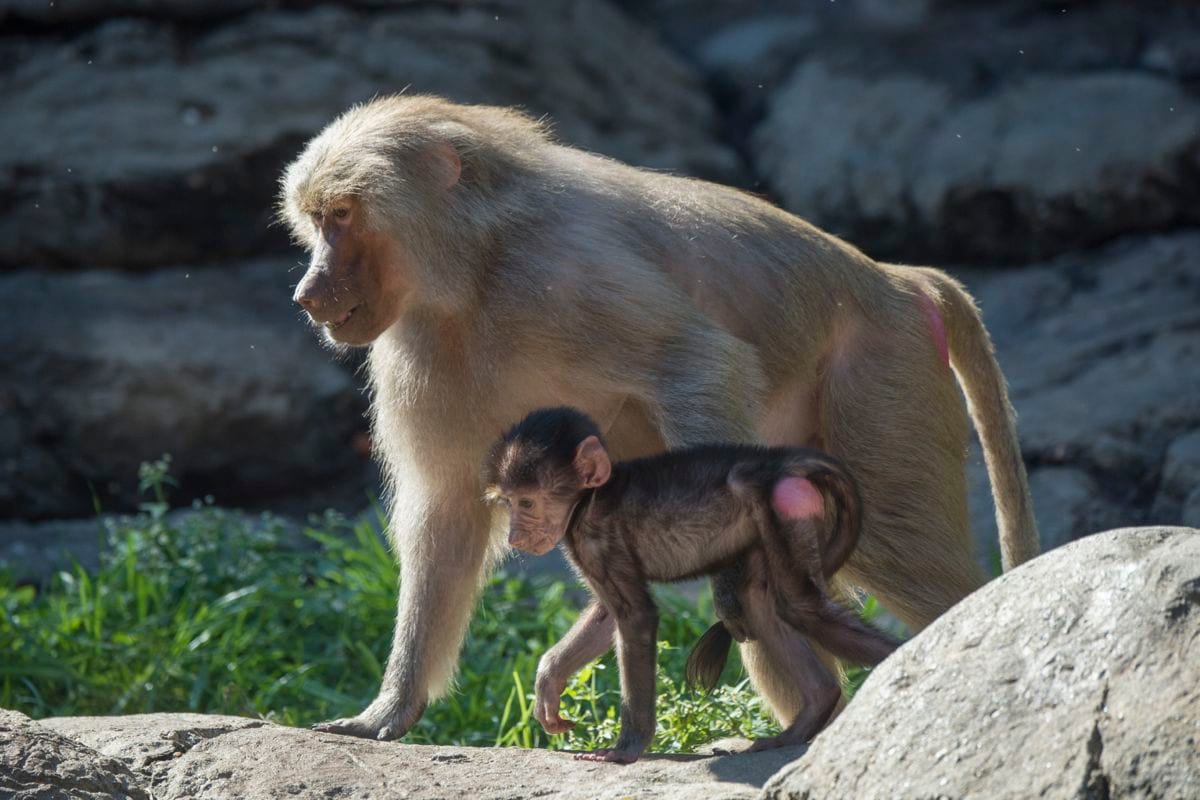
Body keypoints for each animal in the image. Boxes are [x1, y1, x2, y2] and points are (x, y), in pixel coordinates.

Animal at [482, 407, 900, 763]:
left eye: (528, 503)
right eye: (509, 503)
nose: (515, 537)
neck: (592, 496)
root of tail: (781, 461)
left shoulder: (593, 537)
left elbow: (635, 616)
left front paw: (627, 747)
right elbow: (607, 614)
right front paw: (550, 680)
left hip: (781, 504)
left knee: (799, 606)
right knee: (759, 602)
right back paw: (809, 714)